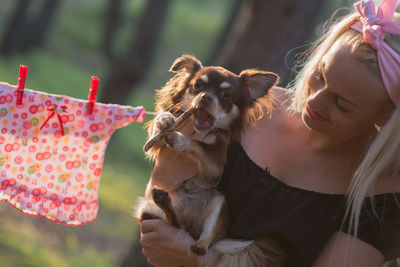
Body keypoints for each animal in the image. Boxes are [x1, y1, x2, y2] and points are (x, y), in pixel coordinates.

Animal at [137, 55, 284, 266]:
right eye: (197, 86)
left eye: (226, 94)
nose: (206, 97)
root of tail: (191, 229)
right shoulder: (157, 145)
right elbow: (158, 129)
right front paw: (164, 119)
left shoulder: (217, 160)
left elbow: (196, 144)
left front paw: (179, 138)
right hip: (149, 212)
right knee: (174, 223)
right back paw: (165, 202)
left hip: (218, 203)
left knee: (205, 239)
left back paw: (200, 244)